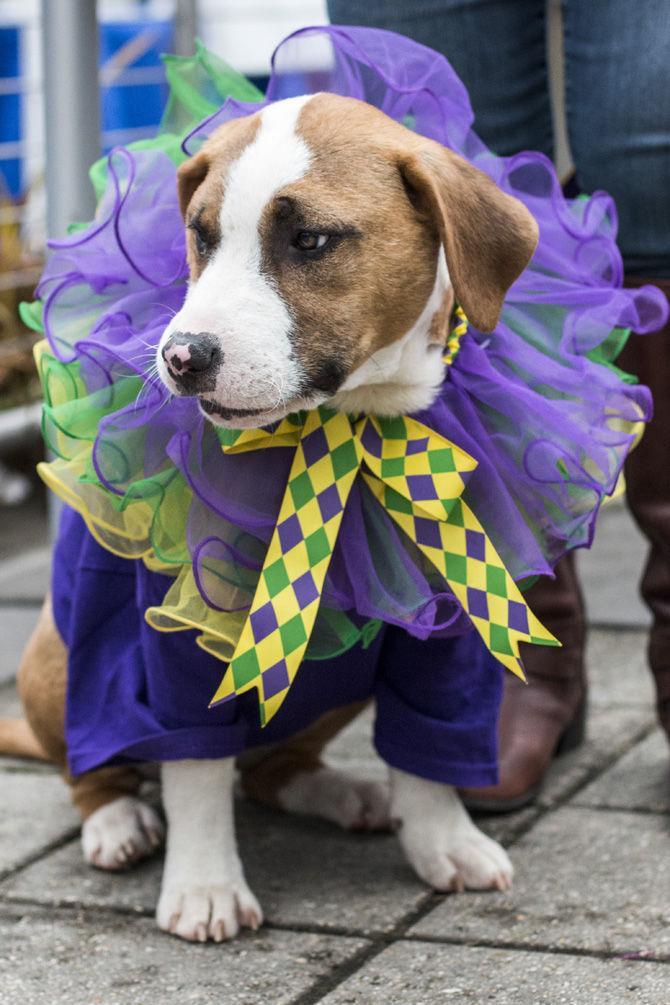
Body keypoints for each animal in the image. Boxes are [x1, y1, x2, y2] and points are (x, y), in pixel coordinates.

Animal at [1, 92, 538, 940]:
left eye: (310, 240)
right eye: (200, 234)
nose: (183, 357)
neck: (346, 424)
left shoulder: (455, 609)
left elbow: (428, 746)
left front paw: (444, 841)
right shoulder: (180, 628)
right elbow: (192, 763)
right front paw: (205, 885)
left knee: (268, 767)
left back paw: (337, 791)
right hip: (56, 661)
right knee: (93, 760)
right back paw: (116, 820)